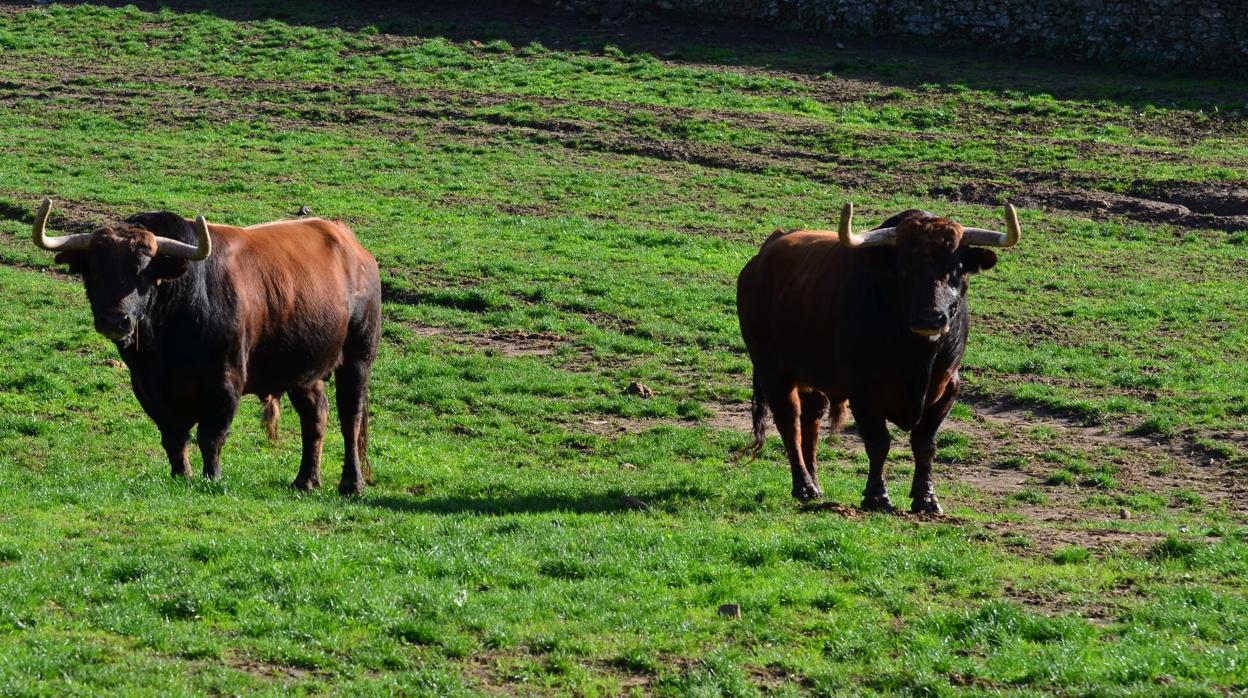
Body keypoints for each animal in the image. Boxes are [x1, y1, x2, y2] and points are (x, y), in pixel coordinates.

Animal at [32, 199, 379, 494]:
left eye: (144, 271)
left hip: (358, 358)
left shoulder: (225, 381)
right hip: (303, 372)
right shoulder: (146, 385)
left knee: (350, 418)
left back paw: (351, 483)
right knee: (315, 416)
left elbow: (210, 436)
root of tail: (354, 249)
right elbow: (173, 435)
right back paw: (305, 480)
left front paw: (212, 476)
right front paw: (181, 474)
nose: (115, 321)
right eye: (94, 270)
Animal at [733, 202, 1018, 514]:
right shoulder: (863, 391)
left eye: (956, 269)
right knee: (789, 421)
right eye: (904, 267)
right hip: (772, 368)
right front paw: (877, 496)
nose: (930, 317)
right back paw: (804, 486)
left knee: (812, 418)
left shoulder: (948, 388)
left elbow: (925, 442)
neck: (917, 358)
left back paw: (815, 483)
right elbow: (878, 443)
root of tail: (764, 254)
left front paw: (926, 498)